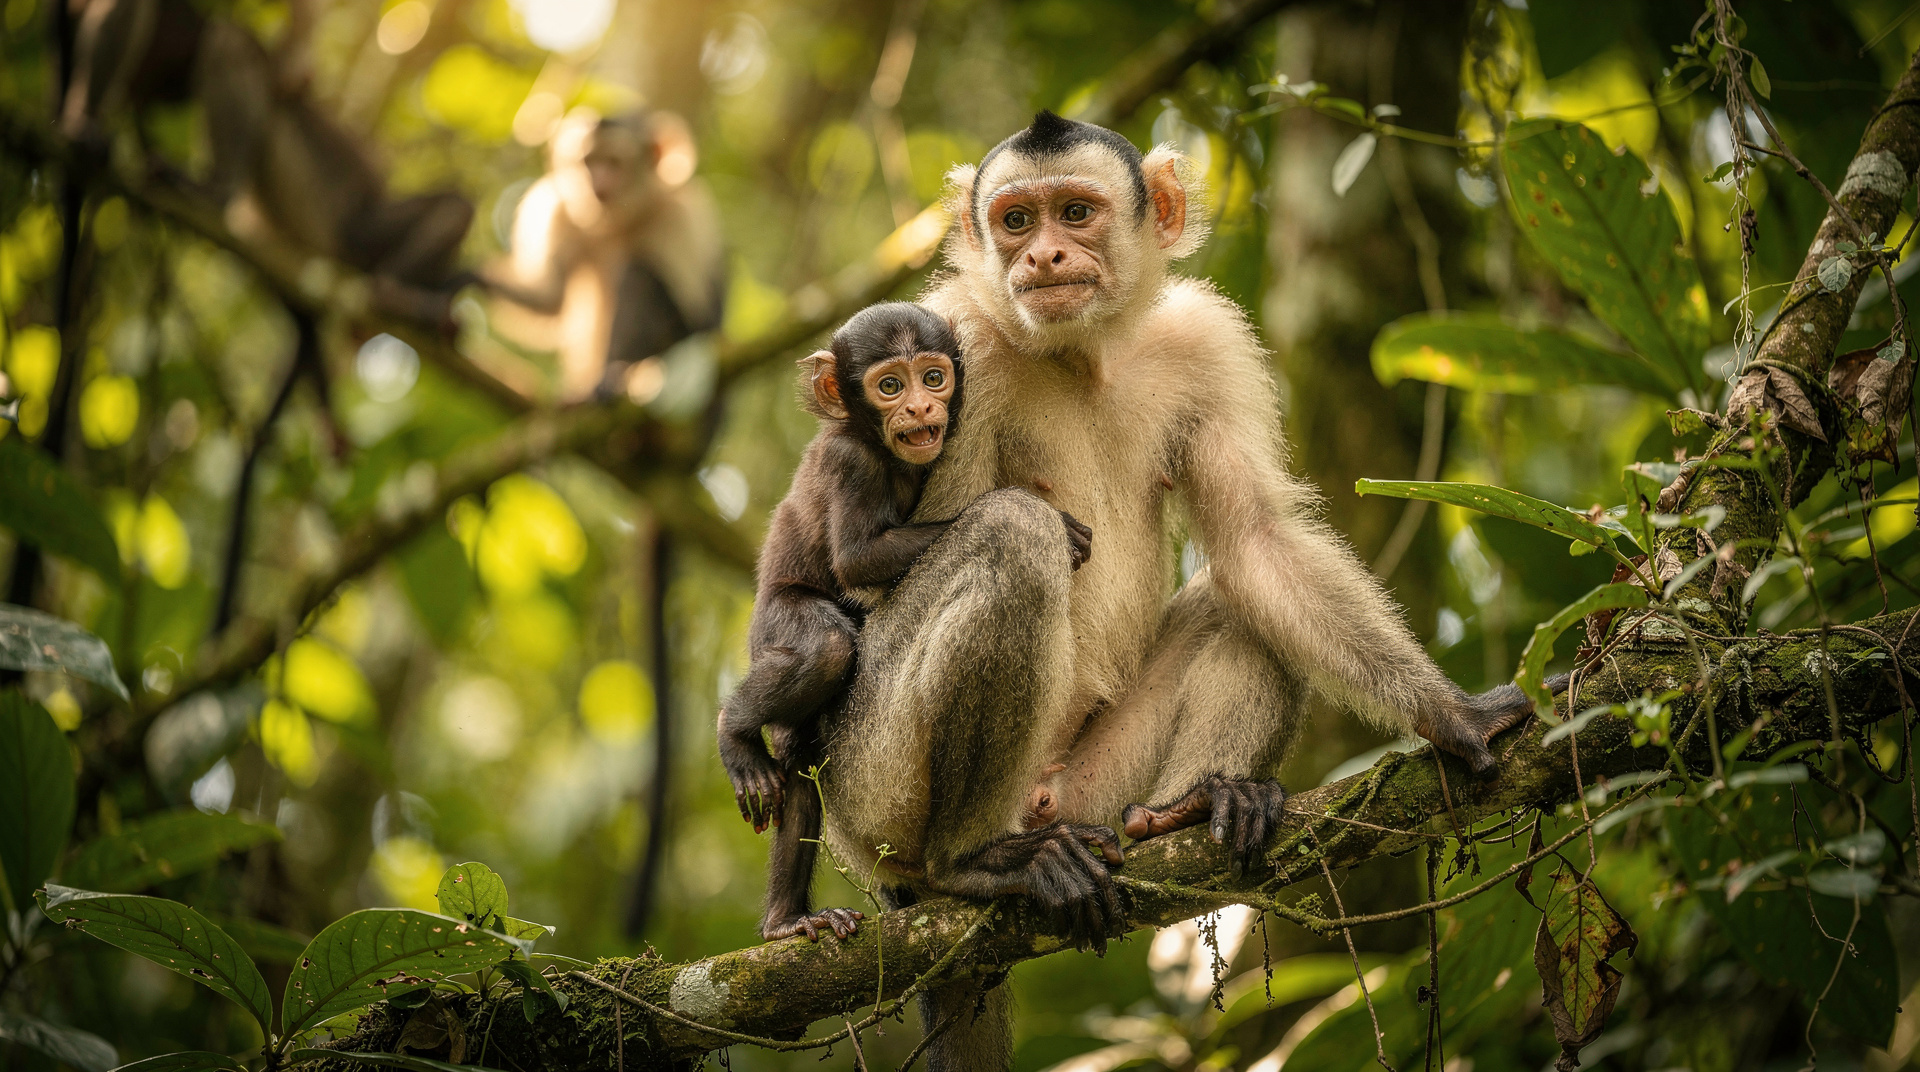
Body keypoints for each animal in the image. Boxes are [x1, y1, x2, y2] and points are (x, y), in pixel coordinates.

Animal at [485, 108, 726, 404]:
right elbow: (551, 299)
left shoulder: (678, 215)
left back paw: (617, 373)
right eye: (589, 162)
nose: (596, 182)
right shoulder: (558, 210)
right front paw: (463, 276)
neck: (618, 223)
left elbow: (701, 326)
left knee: (640, 275)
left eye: (613, 163)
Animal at [806, 111, 1538, 1071]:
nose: (1042, 257)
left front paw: (1454, 716)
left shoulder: (1202, 340)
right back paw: (969, 863)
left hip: (1087, 790)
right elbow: (870, 580)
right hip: (873, 792)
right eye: (1015, 221)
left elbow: (1255, 544)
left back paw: (1201, 804)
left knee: (1238, 601)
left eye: (1074, 214)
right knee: (1011, 539)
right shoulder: (960, 345)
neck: (1082, 356)